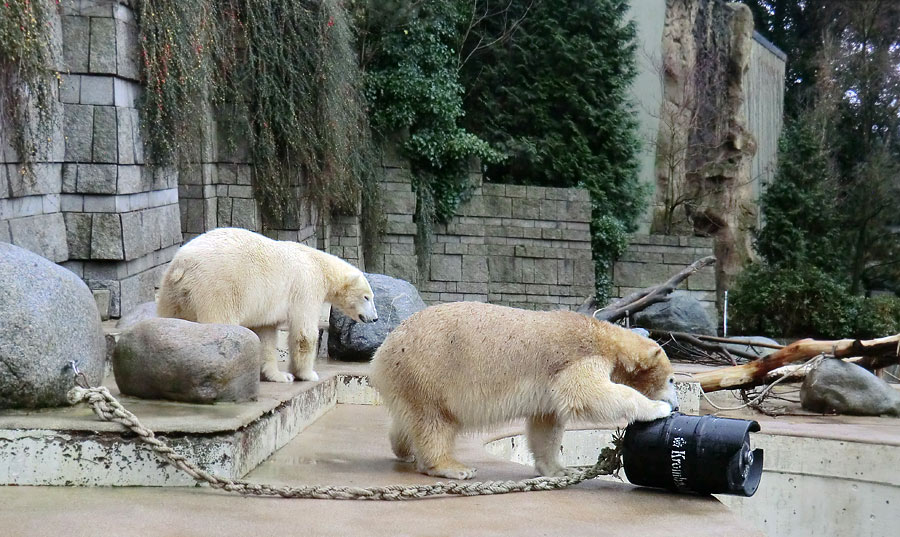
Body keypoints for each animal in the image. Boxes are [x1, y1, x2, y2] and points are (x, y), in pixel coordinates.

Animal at [158, 226, 376, 382]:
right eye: (367, 297)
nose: (374, 318)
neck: (320, 265)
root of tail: (183, 265)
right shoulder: (306, 287)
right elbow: (304, 333)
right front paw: (307, 375)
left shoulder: (268, 305)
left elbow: (267, 334)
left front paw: (280, 376)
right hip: (217, 288)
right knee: (220, 320)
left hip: (173, 292)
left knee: (170, 320)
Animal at [370, 300, 676, 480]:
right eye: (672, 380)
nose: (675, 402)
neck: (602, 335)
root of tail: (381, 353)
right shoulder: (579, 357)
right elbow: (587, 393)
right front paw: (657, 408)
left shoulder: (548, 387)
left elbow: (546, 424)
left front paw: (558, 470)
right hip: (429, 371)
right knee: (434, 421)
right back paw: (453, 467)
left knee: (411, 418)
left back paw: (403, 448)